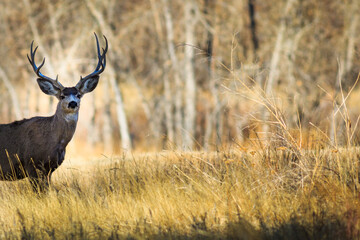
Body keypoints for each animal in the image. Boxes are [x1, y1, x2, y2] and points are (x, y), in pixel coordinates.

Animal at [0, 33, 107, 191]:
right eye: (62, 96)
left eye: (78, 95)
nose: (72, 103)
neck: (56, 141)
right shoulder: (31, 164)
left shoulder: (49, 169)